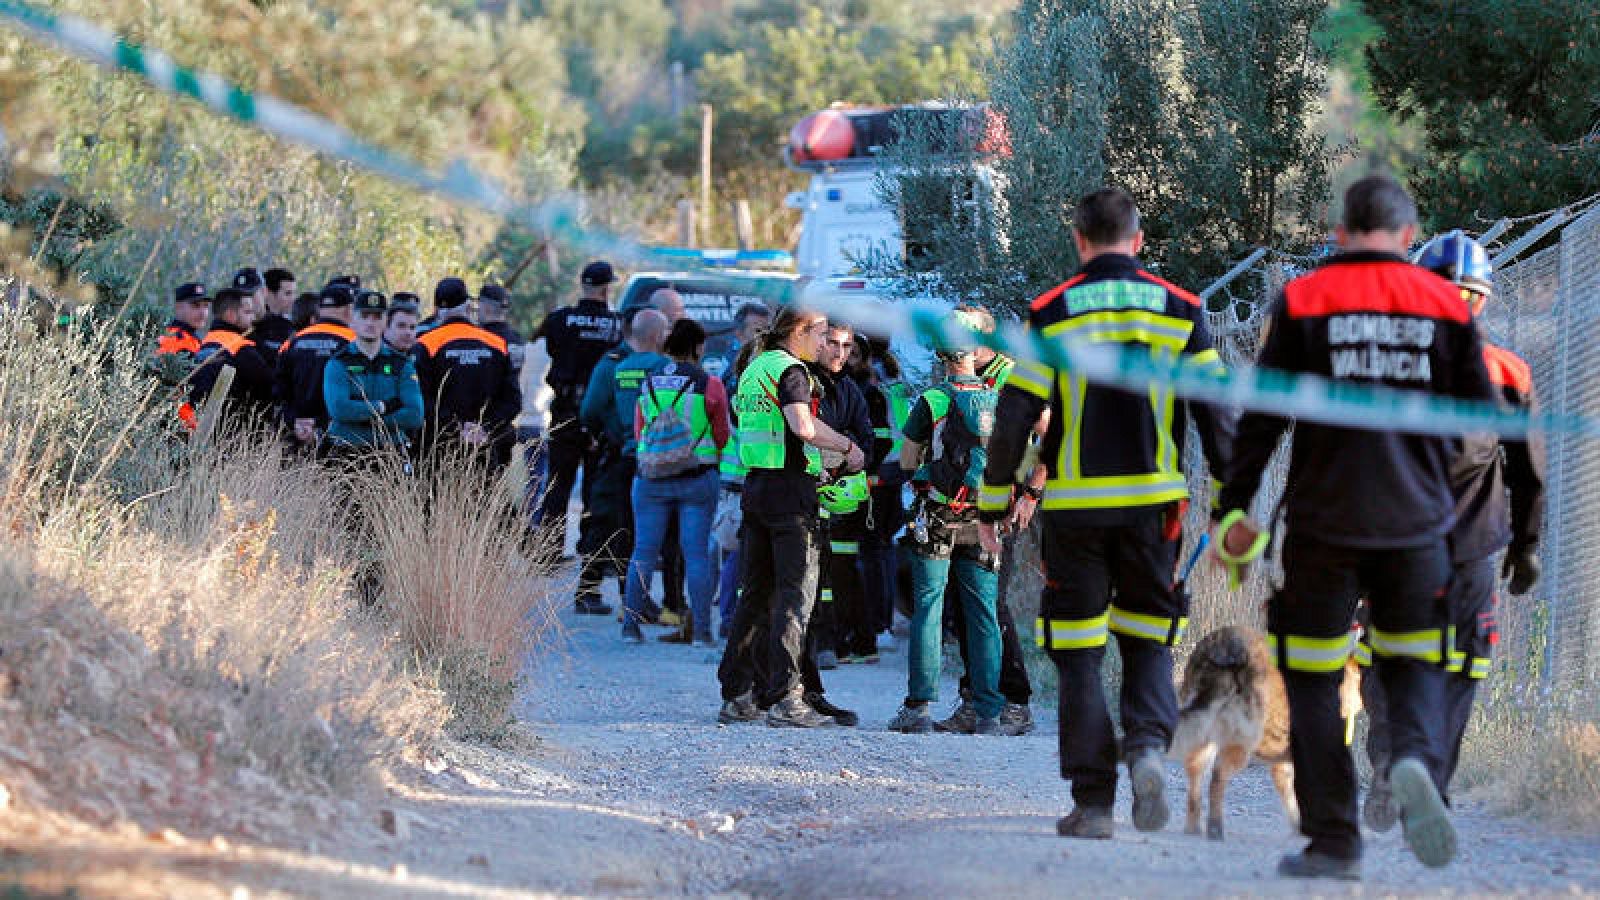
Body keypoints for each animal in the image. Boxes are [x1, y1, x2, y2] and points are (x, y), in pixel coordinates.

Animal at [1171, 627, 1356, 839]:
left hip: (1204, 735)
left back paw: (1193, 828)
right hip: (1242, 740)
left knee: (1195, 780)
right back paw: (1215, 828)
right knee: (1218, 778)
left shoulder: (1284, 764)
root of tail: (1226, 645)